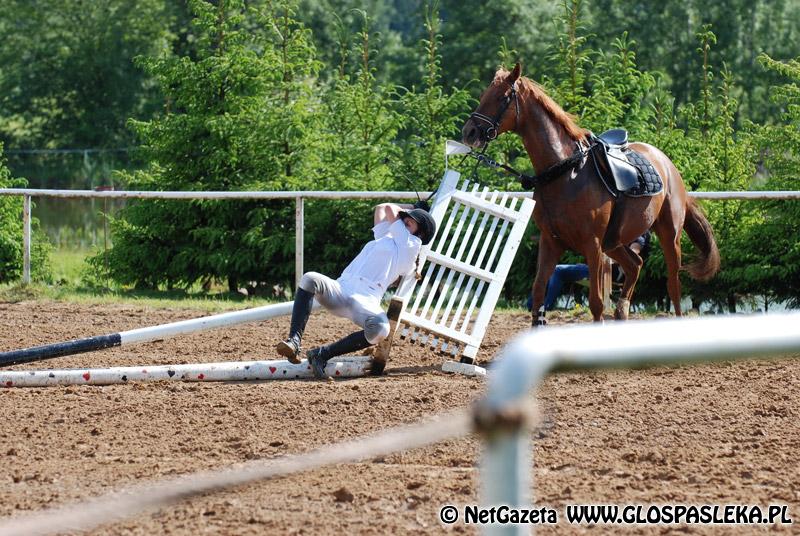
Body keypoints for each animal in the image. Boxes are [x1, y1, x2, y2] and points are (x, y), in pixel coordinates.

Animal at [462, 67, 720, 326]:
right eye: (484, 94)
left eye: (502, 97)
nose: (469, 132)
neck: (565, 171)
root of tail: (667, 164)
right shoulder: (550, 242)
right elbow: (538, 293)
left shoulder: (592, 245)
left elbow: (596, 302)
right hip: (614, 243)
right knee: (635, 265)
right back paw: (622, 311)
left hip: (668, 236)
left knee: (673, 285)